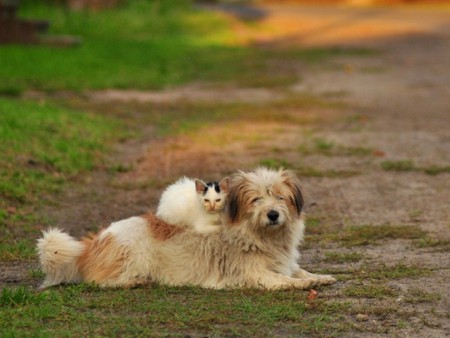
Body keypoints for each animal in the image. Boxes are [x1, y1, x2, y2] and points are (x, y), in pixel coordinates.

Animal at [37, 168, 336, 290]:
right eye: (256, 200)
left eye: (280, 198)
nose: (273, 214)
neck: (261, 235)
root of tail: (92, 243)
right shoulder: (254, 274)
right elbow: (285, 281)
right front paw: (304, 284)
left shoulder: (284, 262)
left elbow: (298, 270)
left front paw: (319, 277)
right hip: (133, 256)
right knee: (99, 281)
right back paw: (136, 281)